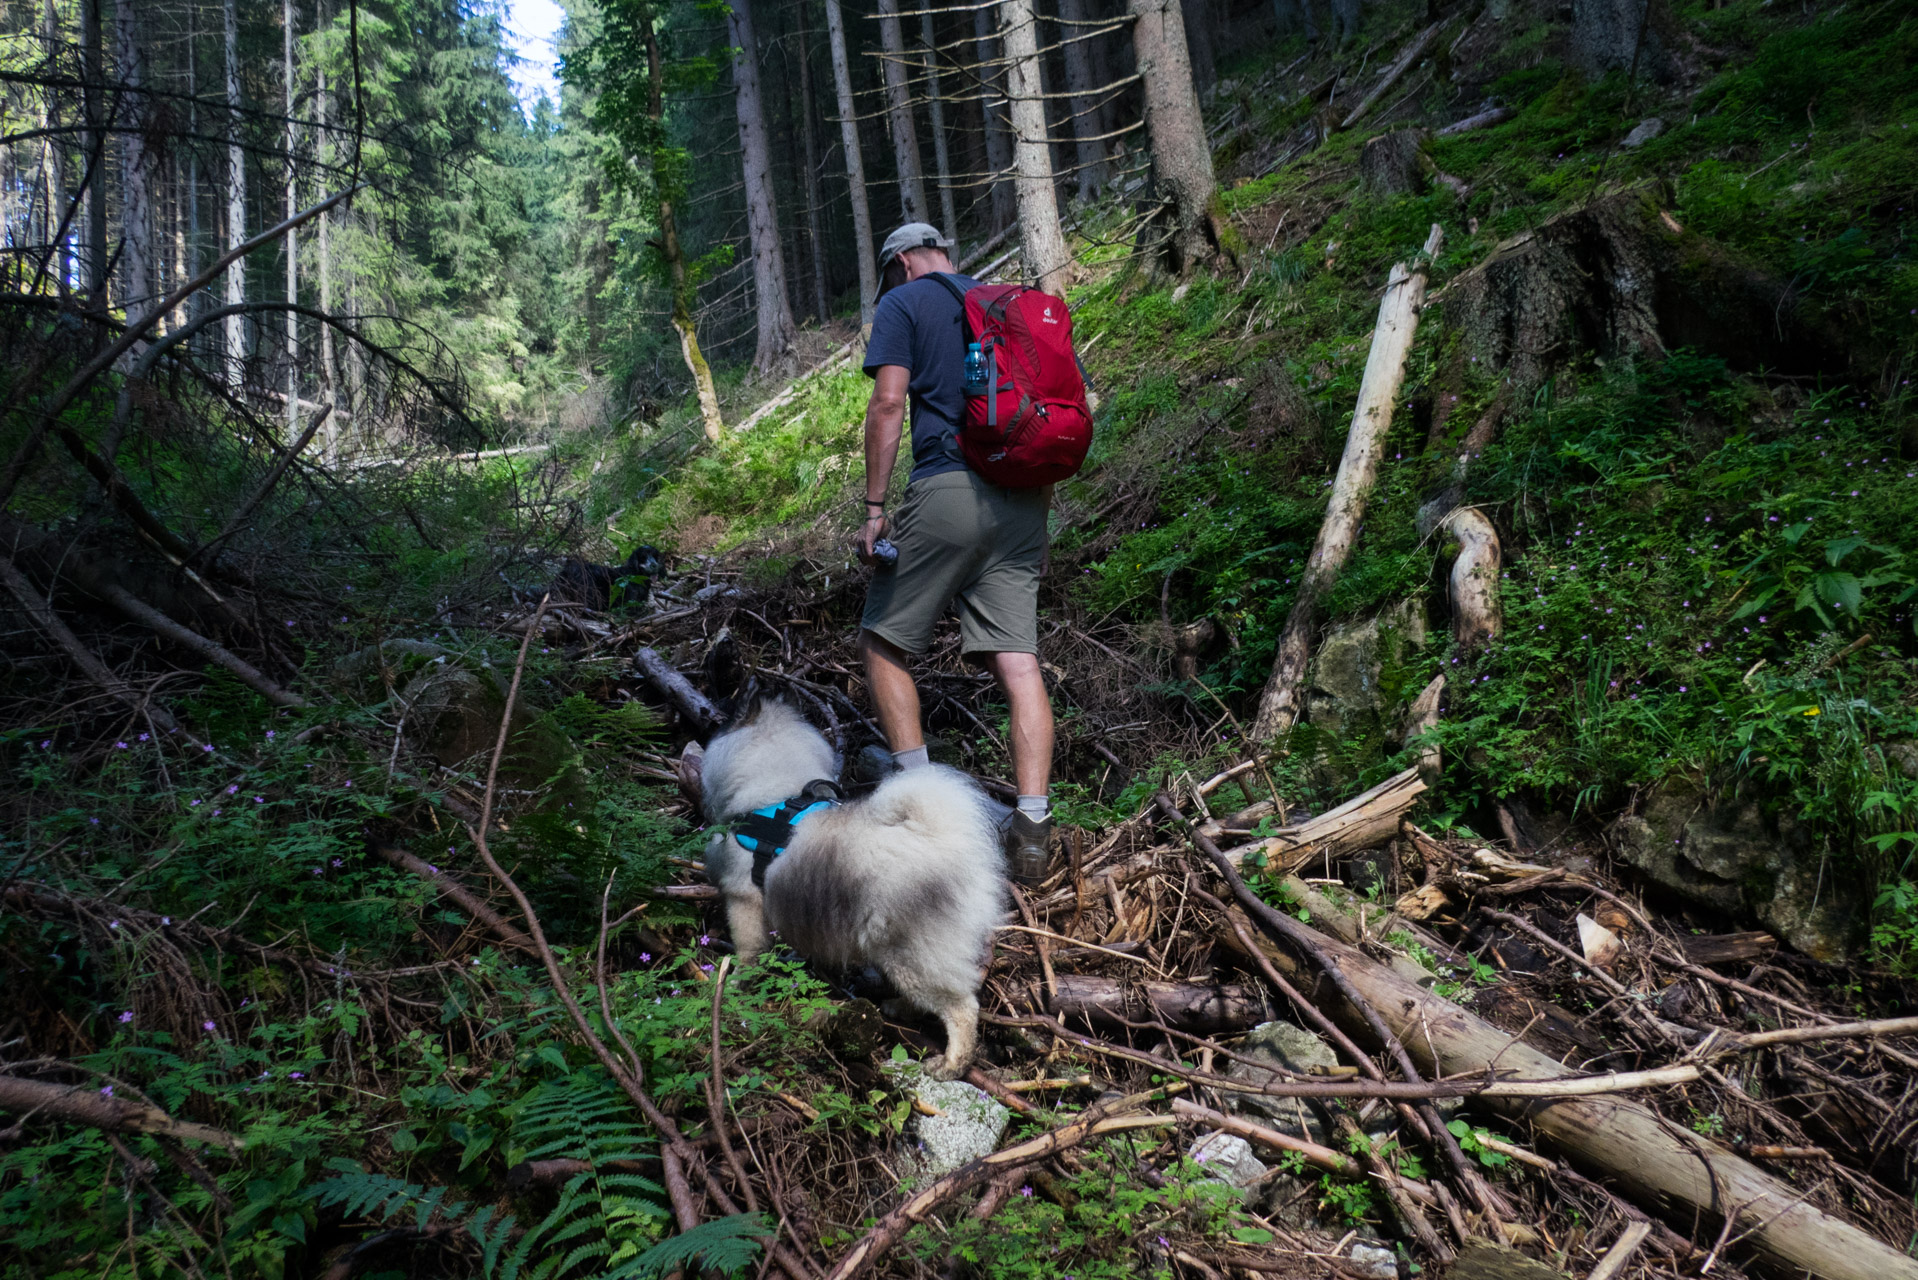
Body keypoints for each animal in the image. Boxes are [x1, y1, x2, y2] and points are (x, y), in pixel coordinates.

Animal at [701, 702, 1005, 1082]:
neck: (775, 795)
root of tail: (949, 841)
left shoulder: (745, 901)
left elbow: (748, 950)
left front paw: (734, 984)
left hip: (910, 953)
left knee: (962, 1008)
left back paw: (951, 1064)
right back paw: (898, 1008)